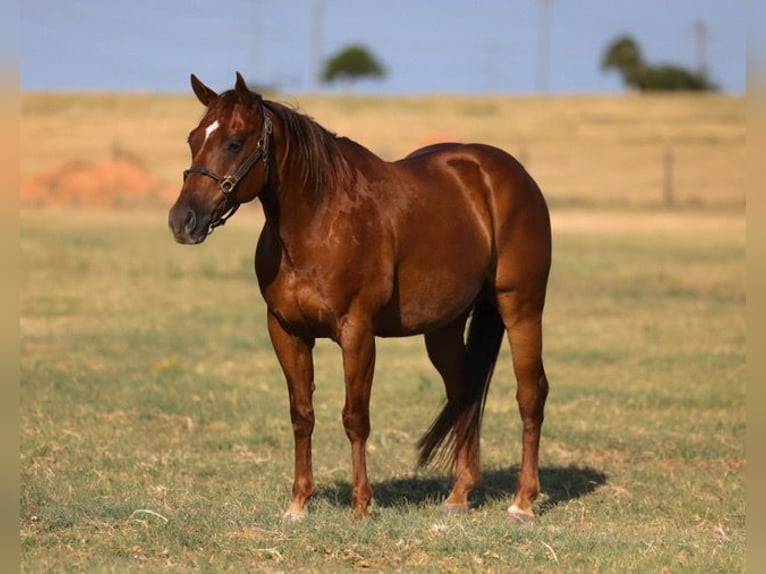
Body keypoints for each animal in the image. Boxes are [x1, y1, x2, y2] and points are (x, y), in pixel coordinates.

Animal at [169, 73, 552, 523]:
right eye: (193, 138)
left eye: (233, 142)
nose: (183, 220)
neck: (318, 219)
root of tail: (511, 174)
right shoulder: (286, 331)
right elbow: (301, 414)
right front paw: (298, 504)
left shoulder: (356, 333)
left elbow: (355, 417)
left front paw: (361, 505)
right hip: (443, 328)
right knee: (465, 395)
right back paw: (458, 495)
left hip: (521, 309)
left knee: (530, 394)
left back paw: (523, 502)